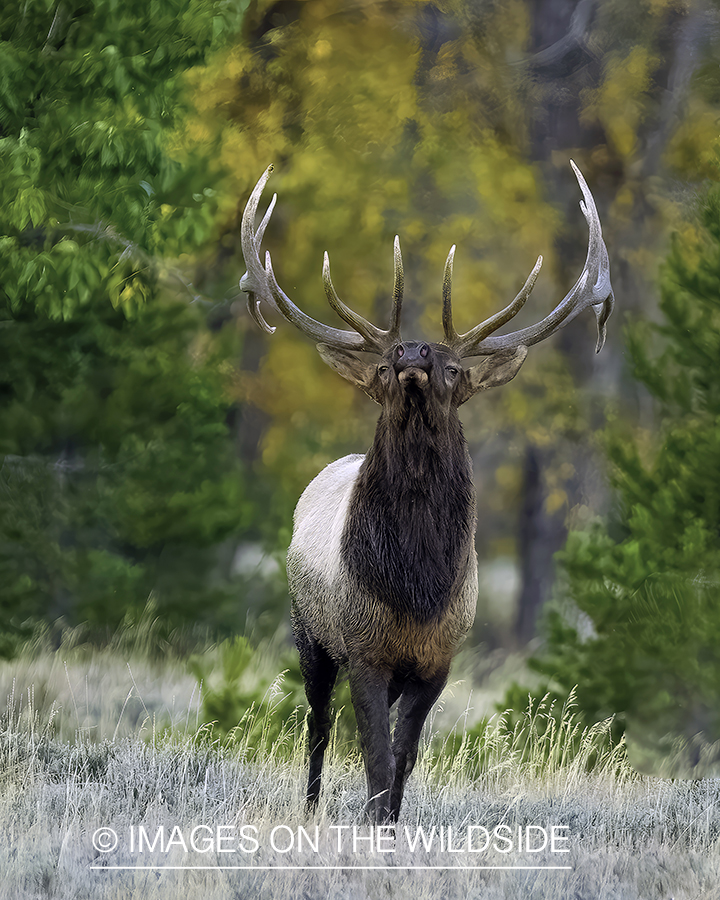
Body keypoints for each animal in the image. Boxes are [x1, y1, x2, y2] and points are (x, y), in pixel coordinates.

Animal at [239, 162, 612, 824]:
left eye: (453, 368)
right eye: (384, 367)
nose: (411, 352)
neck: (415, 588)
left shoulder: (437, 660)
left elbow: (404, 757)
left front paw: (390, 824)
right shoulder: (363, 650)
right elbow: (375, 756)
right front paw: (371, 822)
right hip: (309, 634)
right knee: (317, 728)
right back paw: (309, 808)